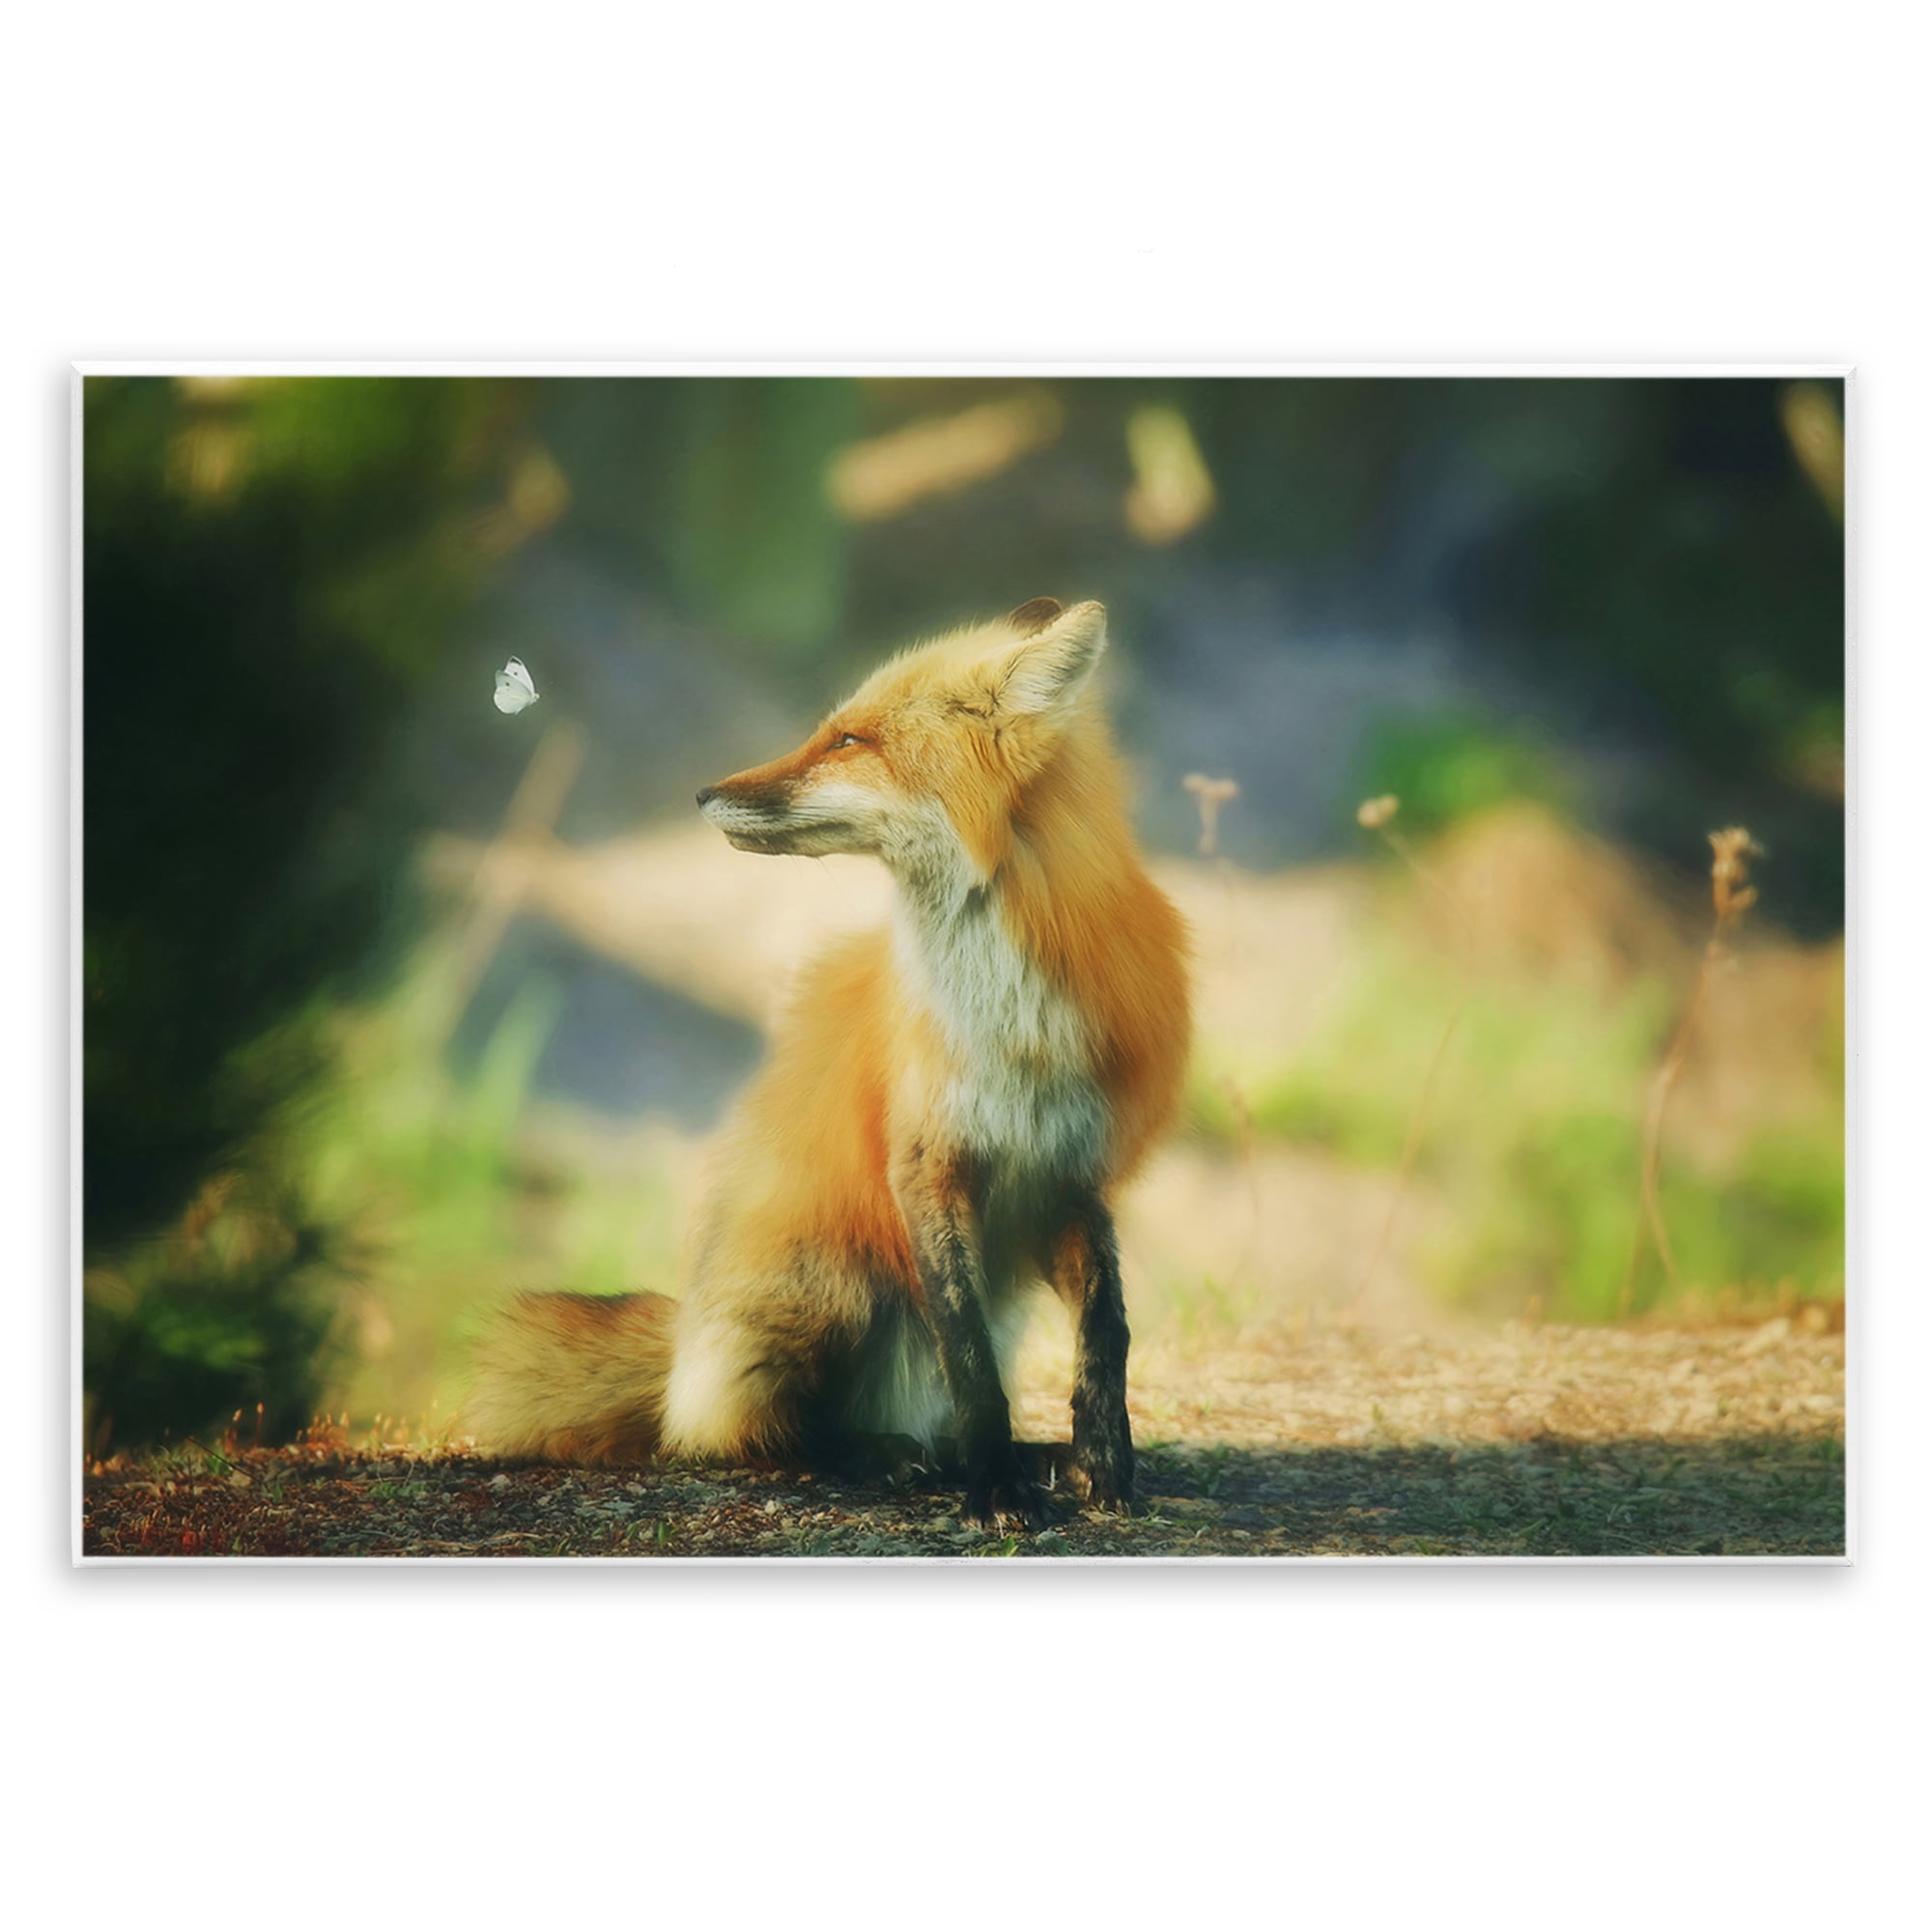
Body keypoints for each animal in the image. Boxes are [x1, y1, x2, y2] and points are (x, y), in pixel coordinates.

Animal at [464, 597, 1191, 1527]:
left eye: (850, 741)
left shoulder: (1069, 1171)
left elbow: (1107, 1328)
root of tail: (684, 1353)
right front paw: (996, 1486)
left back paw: (1005, 1455)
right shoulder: (923, 1163)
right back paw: (878, 1454)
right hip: (836, 1278)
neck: (1008, 1023)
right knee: (757, 1433)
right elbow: (969, 1360)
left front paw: (1101, 1459)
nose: (701, 793)